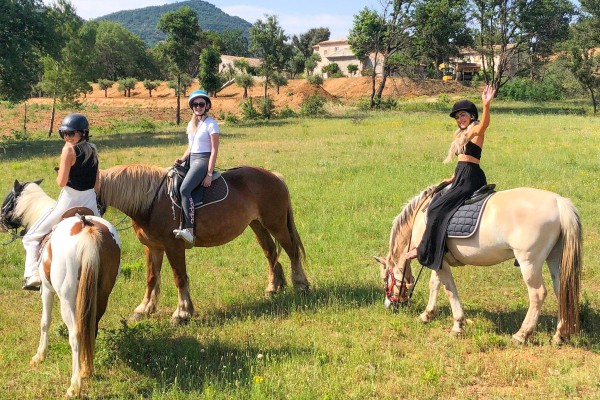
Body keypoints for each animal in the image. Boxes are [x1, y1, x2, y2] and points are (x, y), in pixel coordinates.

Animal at [0, 181, 122, 396]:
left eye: (9, 199)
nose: (0, 221)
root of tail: (87, 229)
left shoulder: (47, 290)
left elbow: (45, 322)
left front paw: (39, 356)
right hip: (100, 296)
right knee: (91, 327)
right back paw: (86, 370)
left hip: (67, 300)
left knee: (76, 334)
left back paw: (74, 385)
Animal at [98, 165, 310, 324]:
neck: (152, 202)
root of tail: (274, 176)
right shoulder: (153, 247)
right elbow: (151, 277)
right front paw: (144, 309)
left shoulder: (173, 245)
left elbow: (179, 277)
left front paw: (182, 313)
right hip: (257, 224)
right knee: (270, 252)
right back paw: (273, 287)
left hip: (276, 224)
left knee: (292, 251)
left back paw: (301, 284)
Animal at [376, 184, 580, 344]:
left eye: (385, 279)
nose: (388, 305)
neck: (421, 215)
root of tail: (559, 202)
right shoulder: (438, 260)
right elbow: (434, 284)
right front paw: (427, 314)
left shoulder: (437, 261)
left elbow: (449, 290)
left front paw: (458, 325)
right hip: (554, 258)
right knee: (561, 290)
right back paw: (559, 335)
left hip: (529, 262)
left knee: (538, 294)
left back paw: (521, 335)